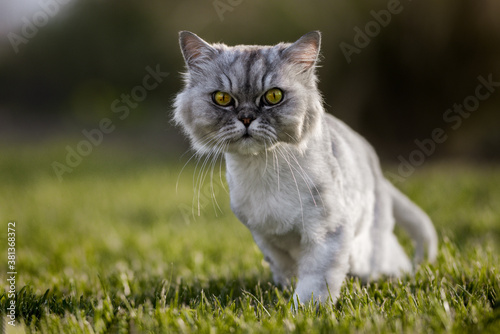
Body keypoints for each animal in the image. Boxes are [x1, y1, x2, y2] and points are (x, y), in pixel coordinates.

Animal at [173, 30, 438, 306]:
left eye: (273, 97)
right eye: (222, 99)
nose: (246, 119)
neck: (263, 168)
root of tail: (374, 164)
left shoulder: (327, 233)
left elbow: (315, 282)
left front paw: (305, 309)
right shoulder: (266, 238)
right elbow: (287, 270)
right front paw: (284, 295)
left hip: (366, 250)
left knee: (389, 261)